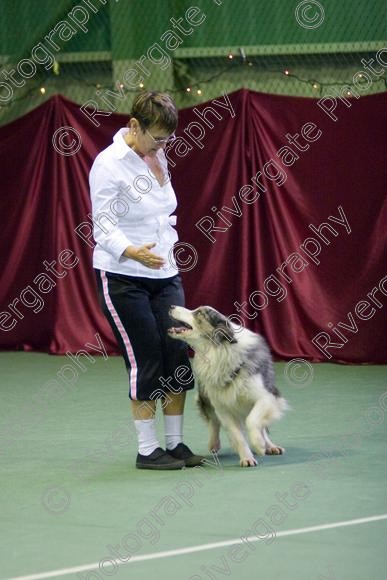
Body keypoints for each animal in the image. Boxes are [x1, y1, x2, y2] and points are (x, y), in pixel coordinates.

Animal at [169, 306, 288, 468]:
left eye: (198, 313)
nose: (171, 307)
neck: (219, 349)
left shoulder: (268, 396)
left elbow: (252, 420)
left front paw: (259, 444)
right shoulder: (222, 407)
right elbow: (237, 435)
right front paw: (247, 458)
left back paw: (269, 445)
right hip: (206, 396)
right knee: (213, 421)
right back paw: (214, 443)